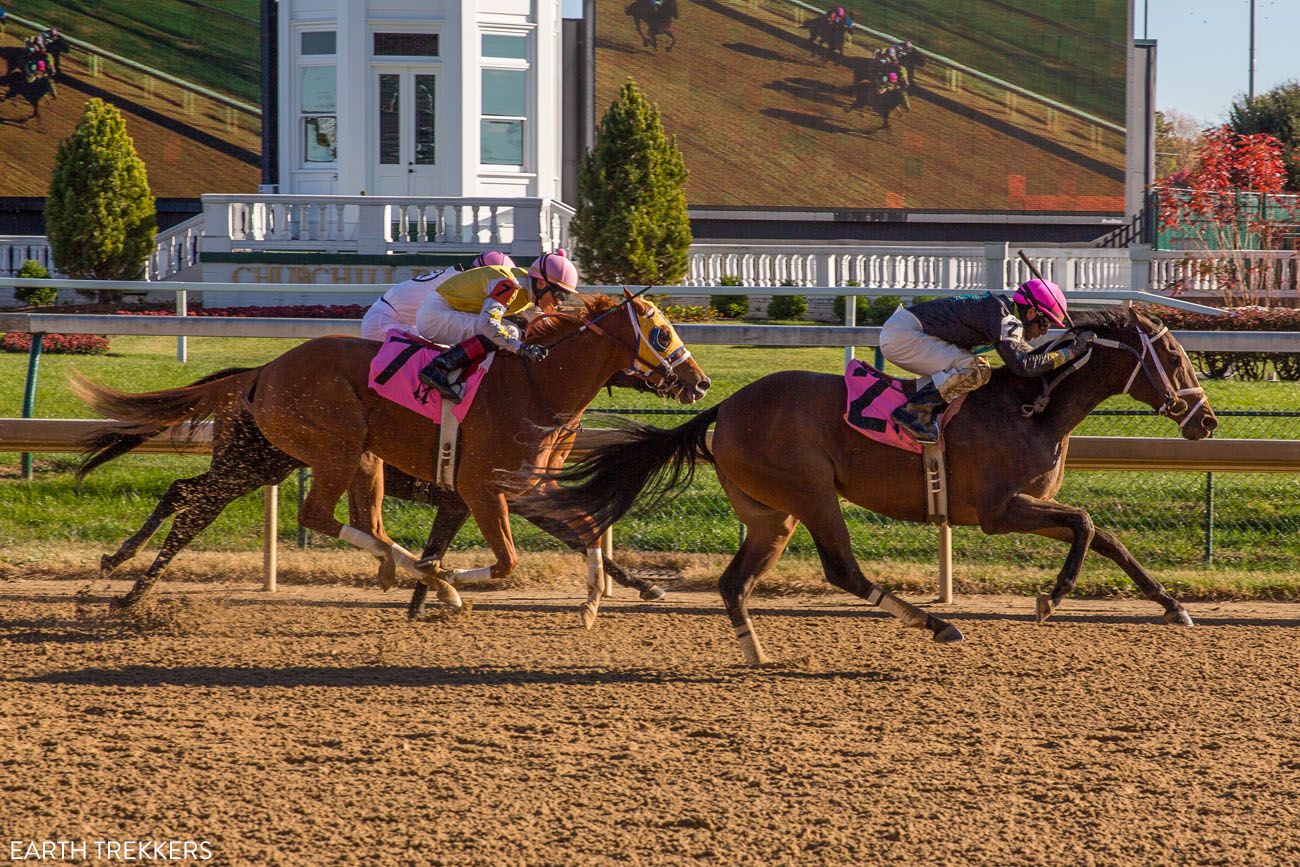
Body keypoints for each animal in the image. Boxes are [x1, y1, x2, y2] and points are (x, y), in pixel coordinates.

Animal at [74, 293, 711, 620]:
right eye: (661, 333)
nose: (700, 382)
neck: (536, 385)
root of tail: (261, 372)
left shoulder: (527, 487)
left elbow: (582, 528)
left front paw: (608, 593)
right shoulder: (484, 489)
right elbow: (508, 560)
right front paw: (444, 585)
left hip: (322, 459)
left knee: (197, 496)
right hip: (311, 451)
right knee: (276, 514)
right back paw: (130, 589)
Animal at [520, 308, 1219, 665]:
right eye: (1175, 357)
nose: (1206, 420)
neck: (1033, 405)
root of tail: (726, 406)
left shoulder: (1030, 504)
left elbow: (1108, 539)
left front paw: (1172, 606)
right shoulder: (1000, 510)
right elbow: (1087, 525)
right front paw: (1054, 596)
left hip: (771, 514)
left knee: (734, 582)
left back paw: (758, 653)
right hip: (811, 494)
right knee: (843, 571)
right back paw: (937, 627)